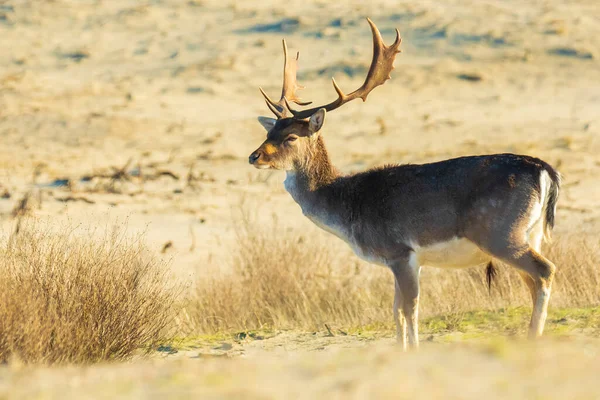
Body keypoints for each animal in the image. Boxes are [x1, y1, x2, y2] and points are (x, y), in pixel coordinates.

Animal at [248, 18, 556, 350]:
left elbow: (410, 309)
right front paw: (400, 349)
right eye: (269, 132)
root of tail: (545, 170)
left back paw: (534, 337)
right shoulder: (398, 260)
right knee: (532, 280)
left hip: (499, 232)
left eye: (291, 136)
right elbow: (395, 310)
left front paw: (414, 349)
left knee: (544, 271)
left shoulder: (399, 250)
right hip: (530, 233)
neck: (349, 208)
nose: (254, 156)